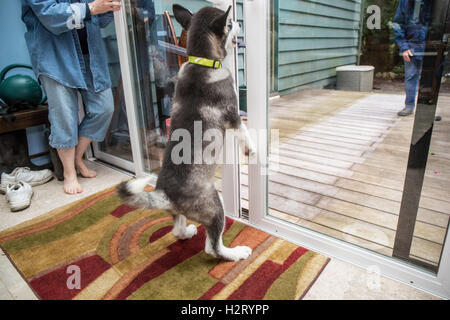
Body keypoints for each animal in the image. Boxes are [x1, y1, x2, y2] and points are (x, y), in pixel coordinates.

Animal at [116, 3, 255, 262]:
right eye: (230, 23)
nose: (240, 23)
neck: (202, 62)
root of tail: (166, 195)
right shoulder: (232, 116)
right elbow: (244, 131)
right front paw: (251, 150)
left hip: (182, 211)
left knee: (177, 230)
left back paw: (188, 231)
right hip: (215, 206)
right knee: (212, 247)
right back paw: (235, 253)